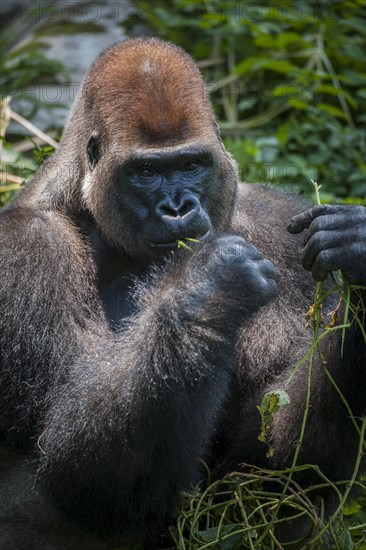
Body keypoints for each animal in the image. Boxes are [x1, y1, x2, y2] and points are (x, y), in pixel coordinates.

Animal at [0, 36, 364, 548]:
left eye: (192, 165)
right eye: (146, 172)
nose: (178, 207)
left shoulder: (279, 227)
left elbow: (281, 463)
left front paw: (358, 251)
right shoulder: (27, 246)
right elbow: (68, 464)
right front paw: (207, 285)